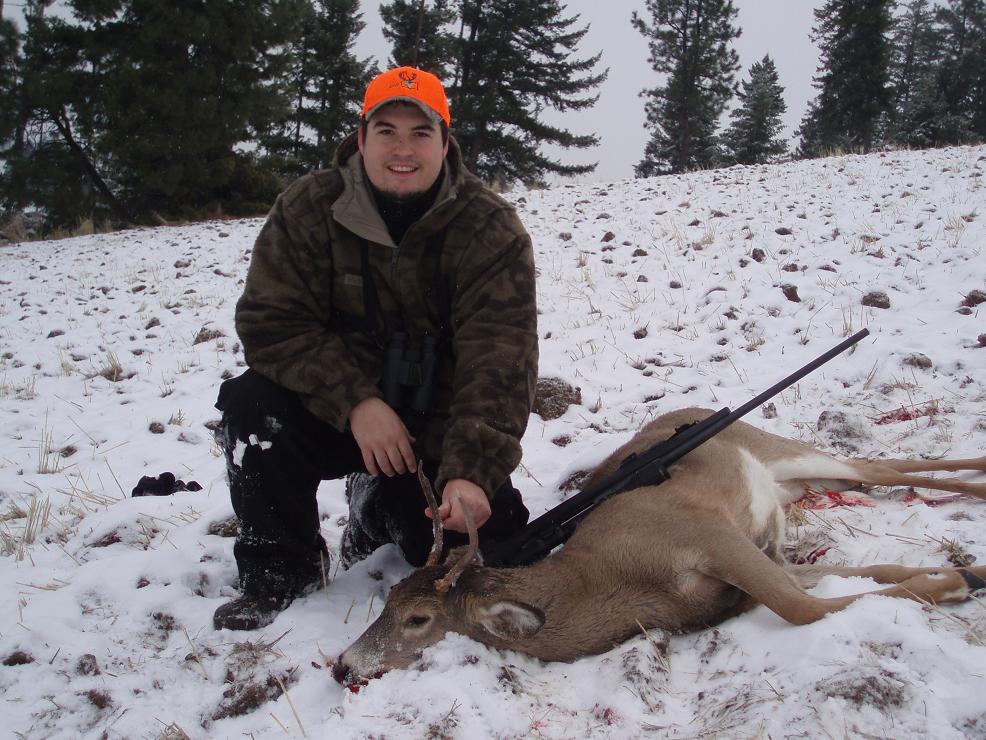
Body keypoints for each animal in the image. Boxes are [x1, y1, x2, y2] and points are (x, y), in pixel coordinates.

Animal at [332, 408, 984, 684]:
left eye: (418, 618)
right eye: (387, 602)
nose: (342, 666)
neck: (614, 584)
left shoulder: (707, 535)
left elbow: (802, 609)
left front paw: (957, 580)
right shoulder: (759, 565)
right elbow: (860, 577)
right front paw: (965, 573)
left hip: (778, 449)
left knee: (880, 466)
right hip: (792, 481)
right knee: (877, 473)